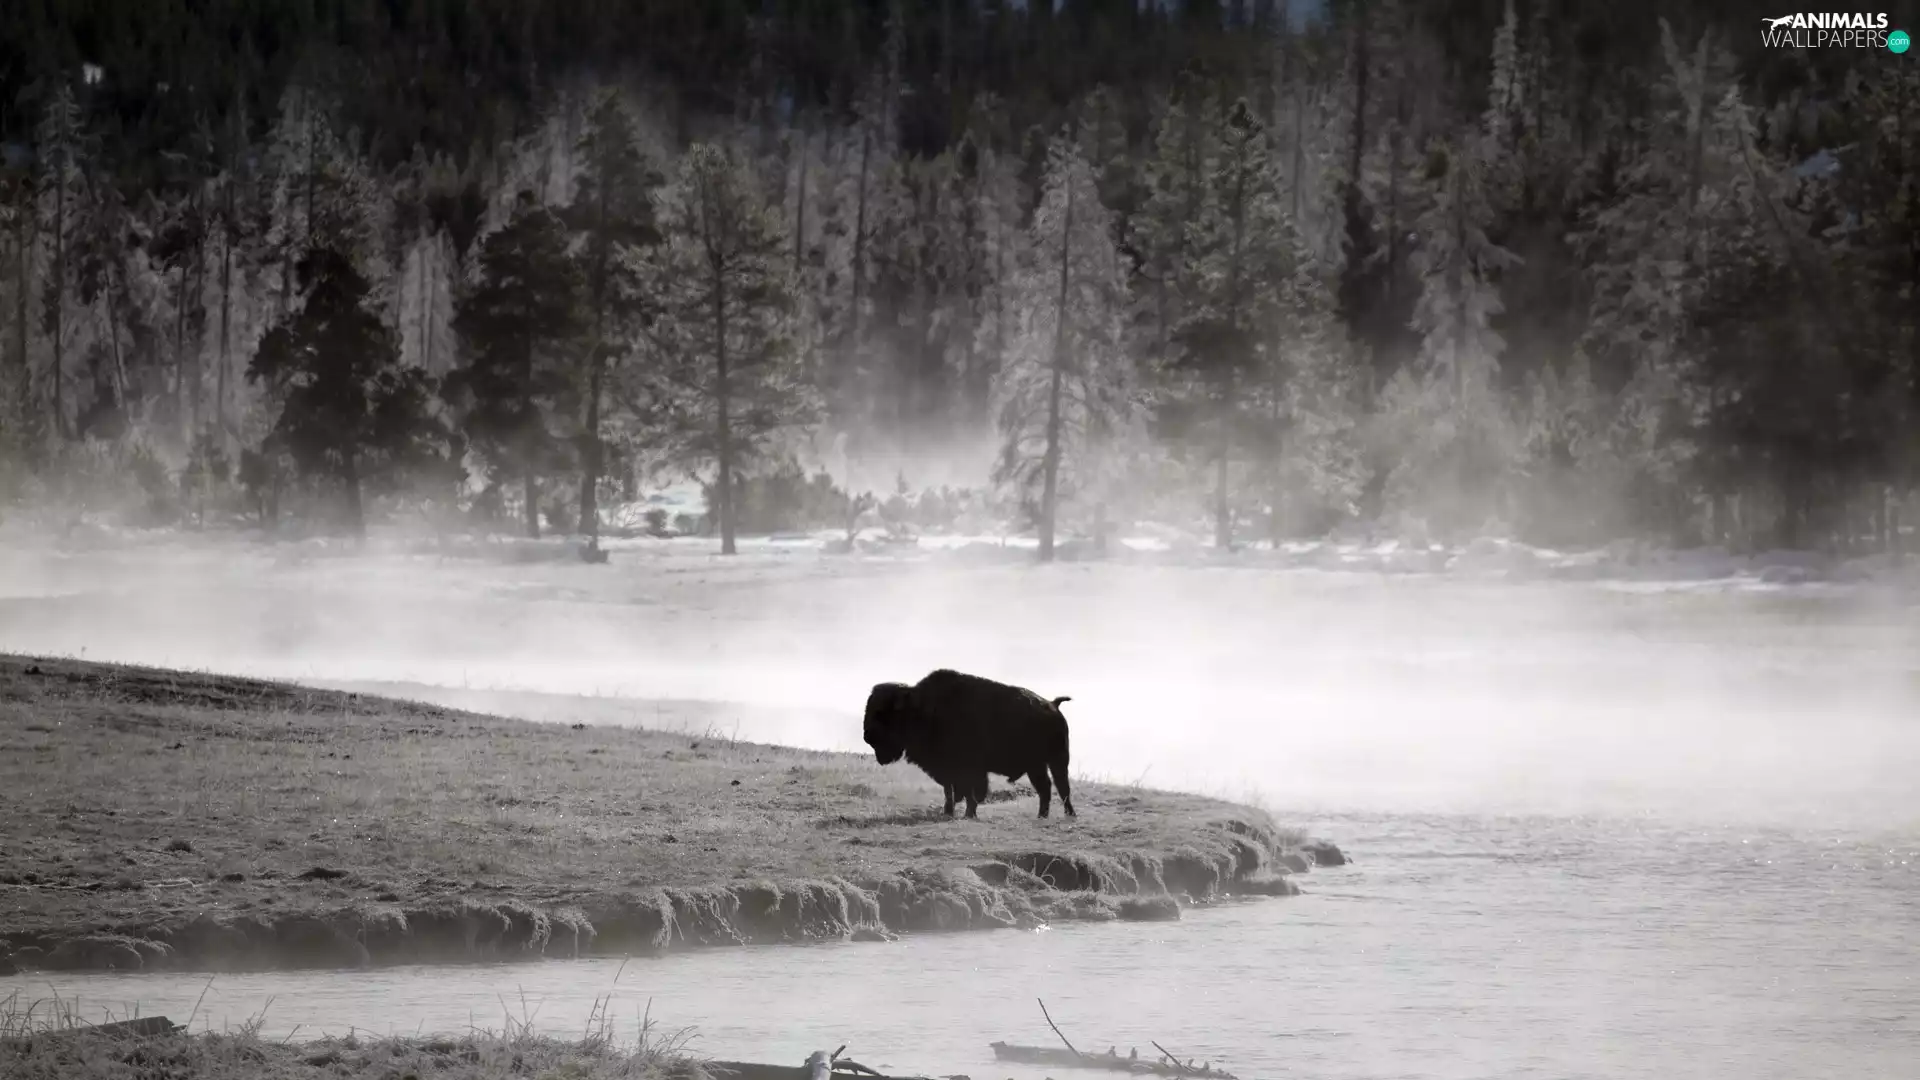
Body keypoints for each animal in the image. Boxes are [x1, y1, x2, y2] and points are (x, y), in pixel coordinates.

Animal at [862, 668, 1077, 819]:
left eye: (881, 713)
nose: (867, 735)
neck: (921, 708)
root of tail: (1053, 705)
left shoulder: (969, 769)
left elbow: (968, 792)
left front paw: (969, 813)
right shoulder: (947, 769)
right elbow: (951, 791)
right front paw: (949, 811)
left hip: (1057, 760)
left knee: (1061, 786)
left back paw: (1068, 814)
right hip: (1037, 766)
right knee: (1046, 788)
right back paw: (1043, 815)